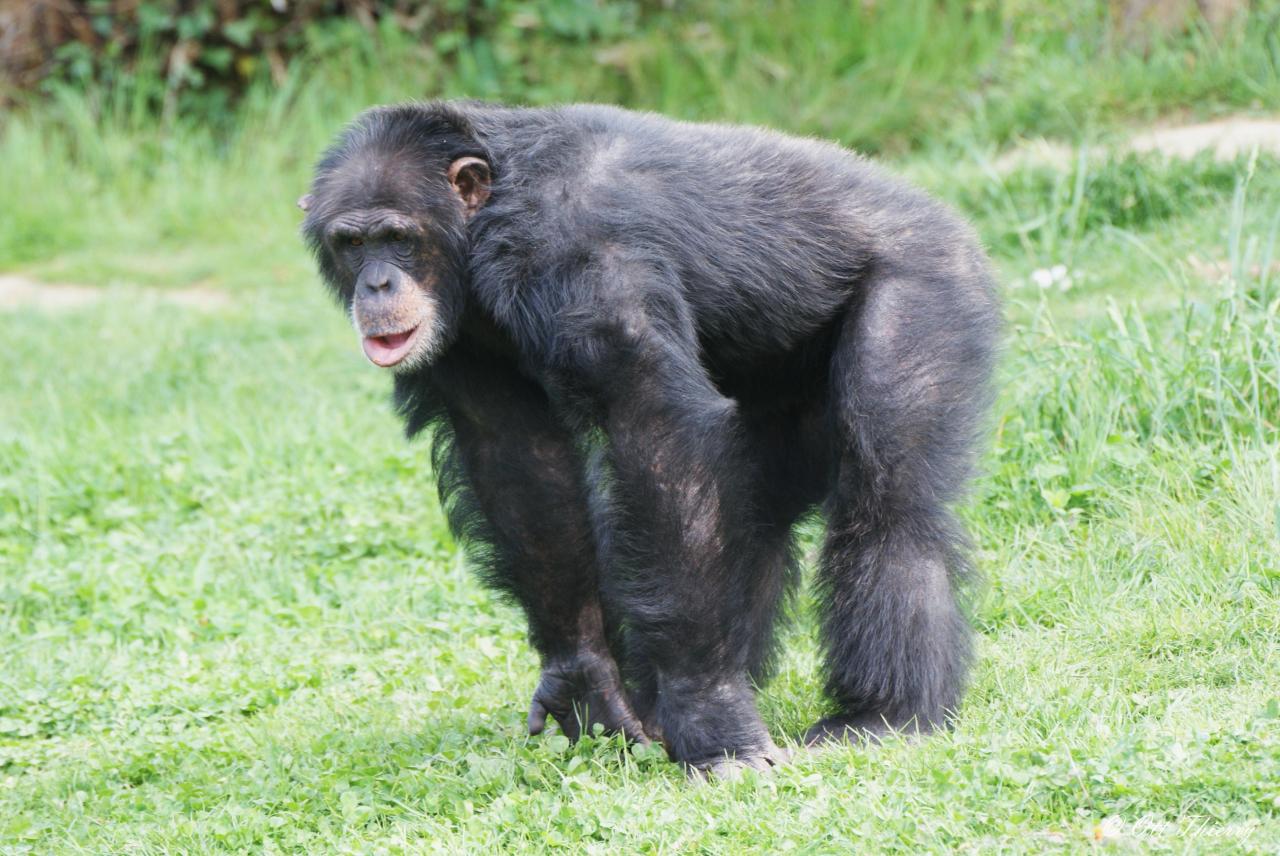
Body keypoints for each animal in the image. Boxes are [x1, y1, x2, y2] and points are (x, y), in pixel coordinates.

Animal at [296, 100, 998, 772]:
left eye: (398, 238)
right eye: (350, 243)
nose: (377, 283)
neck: (484, 225)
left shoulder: (584, 257)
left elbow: (653, 423)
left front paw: (712, 720)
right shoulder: (468, 348)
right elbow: (516, 456)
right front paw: (583, 677)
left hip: (926, 293)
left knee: (889, 502)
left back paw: (884, 712)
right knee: (751, 512)